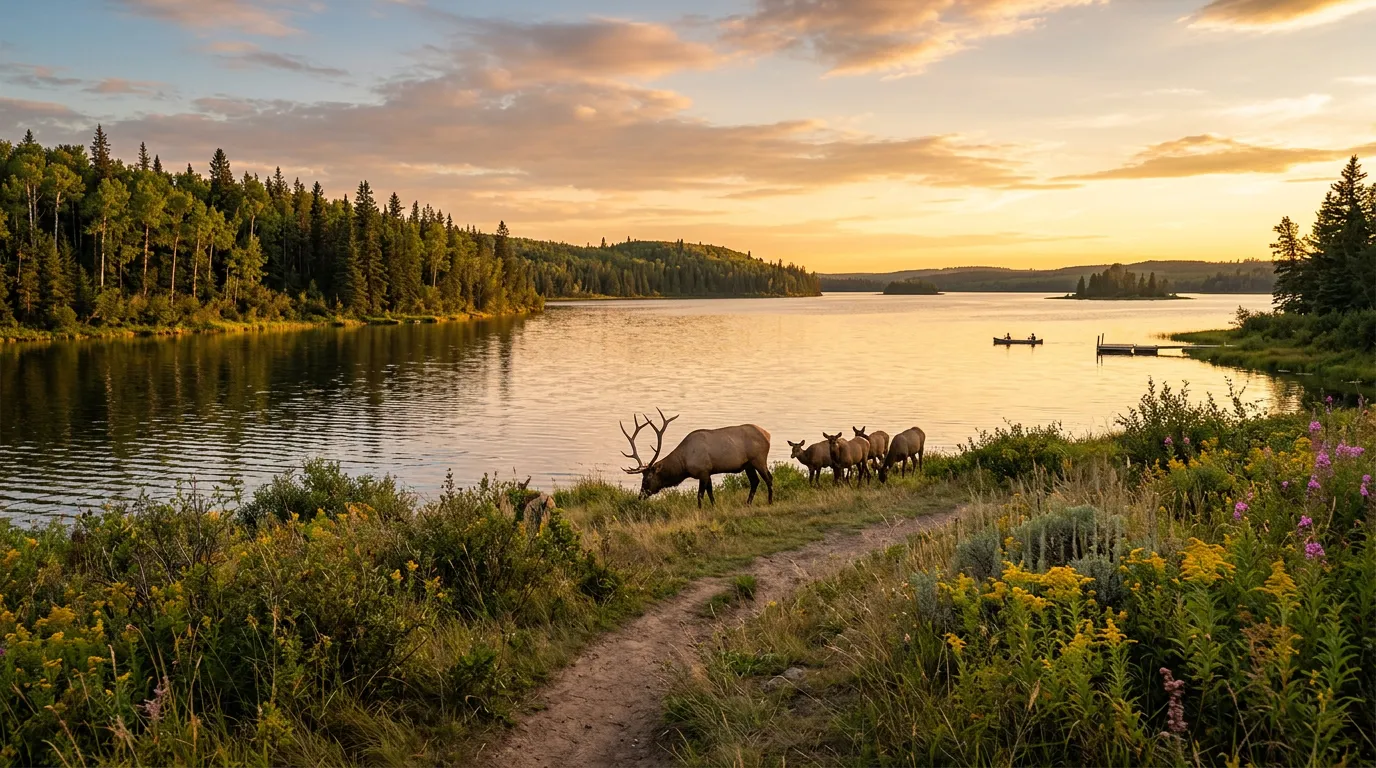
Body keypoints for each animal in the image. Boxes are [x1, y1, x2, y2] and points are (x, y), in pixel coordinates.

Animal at [622, 409, 773, 508]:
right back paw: (748, 503)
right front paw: (714, 507)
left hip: (759, 459)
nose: (640, 496)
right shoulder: (708, 472)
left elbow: (700, 494)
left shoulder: (703, 471)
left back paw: (770, 501)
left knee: (768, 478)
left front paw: (700, 510)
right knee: (755, 481)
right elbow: (710, 492)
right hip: (748, 464)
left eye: (647, 479)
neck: (684, 465)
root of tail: (768, 434)